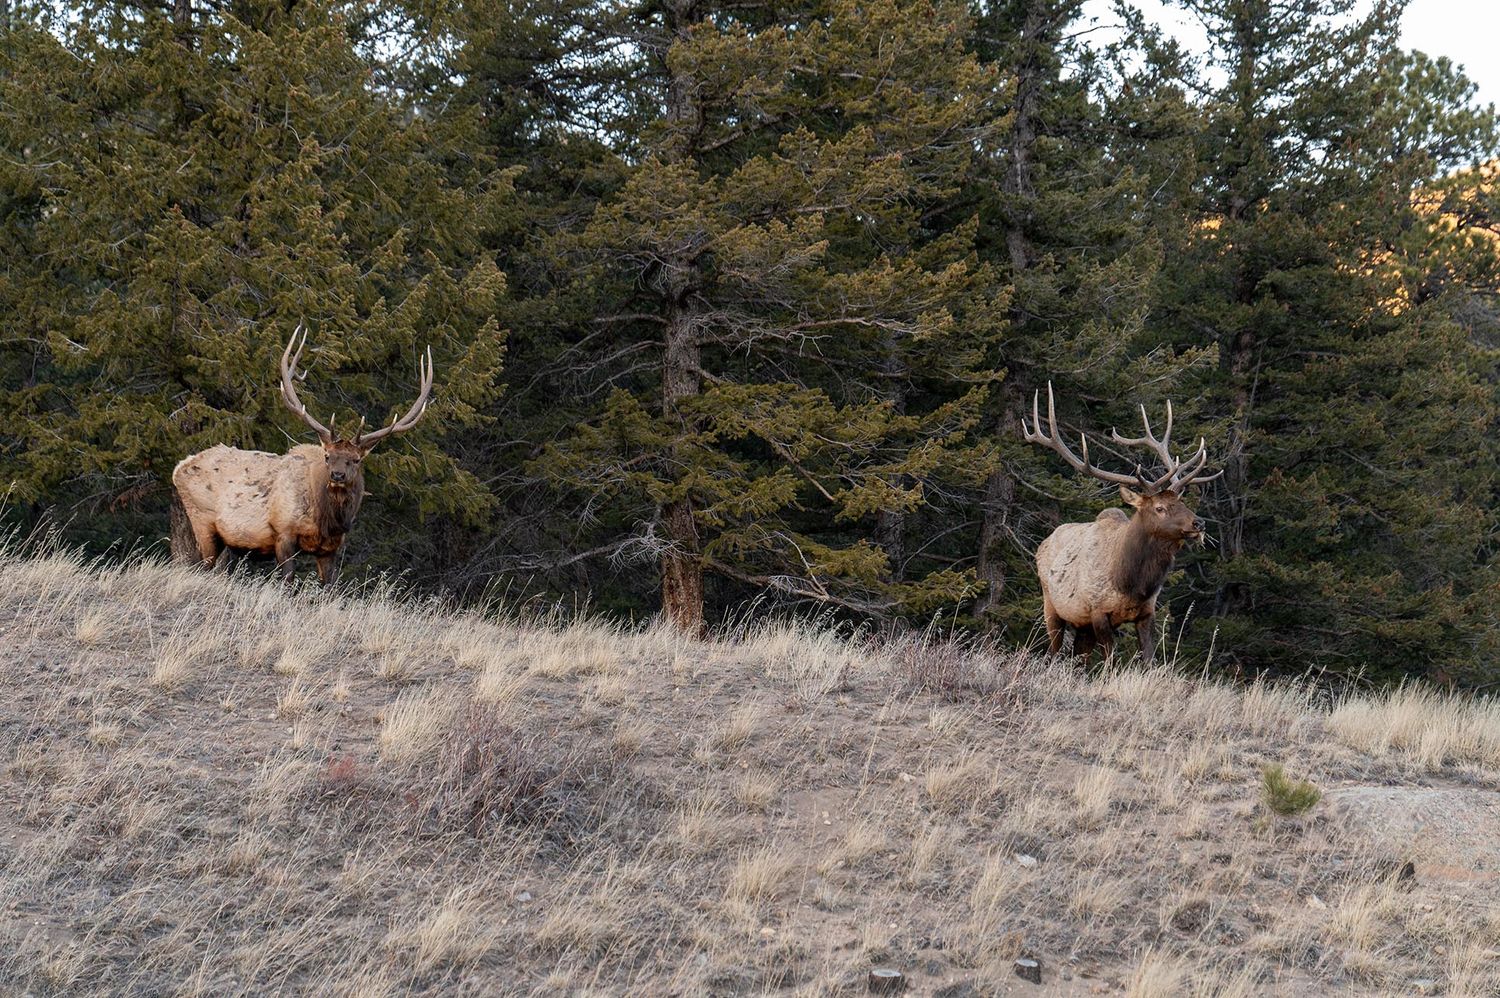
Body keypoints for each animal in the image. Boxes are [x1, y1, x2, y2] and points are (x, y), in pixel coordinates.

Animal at [170, 326, 433, 585]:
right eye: (327, 455)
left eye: (356, 460)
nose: (337, 475)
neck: (327, 522)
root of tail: (179, 467)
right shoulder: (282, 532)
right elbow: (287, 582)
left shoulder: (330, 549)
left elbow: (330, 587)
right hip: (202, 520)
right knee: (201, 565)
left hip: (231, 540)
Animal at [1020, 383, 1220, 665]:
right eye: (1159, 508)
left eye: (1181, 501)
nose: (1198, 523)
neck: (1131, 585)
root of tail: (1043, 543)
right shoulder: (1097, 612)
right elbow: (1111, 662)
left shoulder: (1146, 613)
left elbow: (1149, 660)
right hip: (1052, 605)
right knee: (1054, 652)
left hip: (1081, 626)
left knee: (1077, 658)